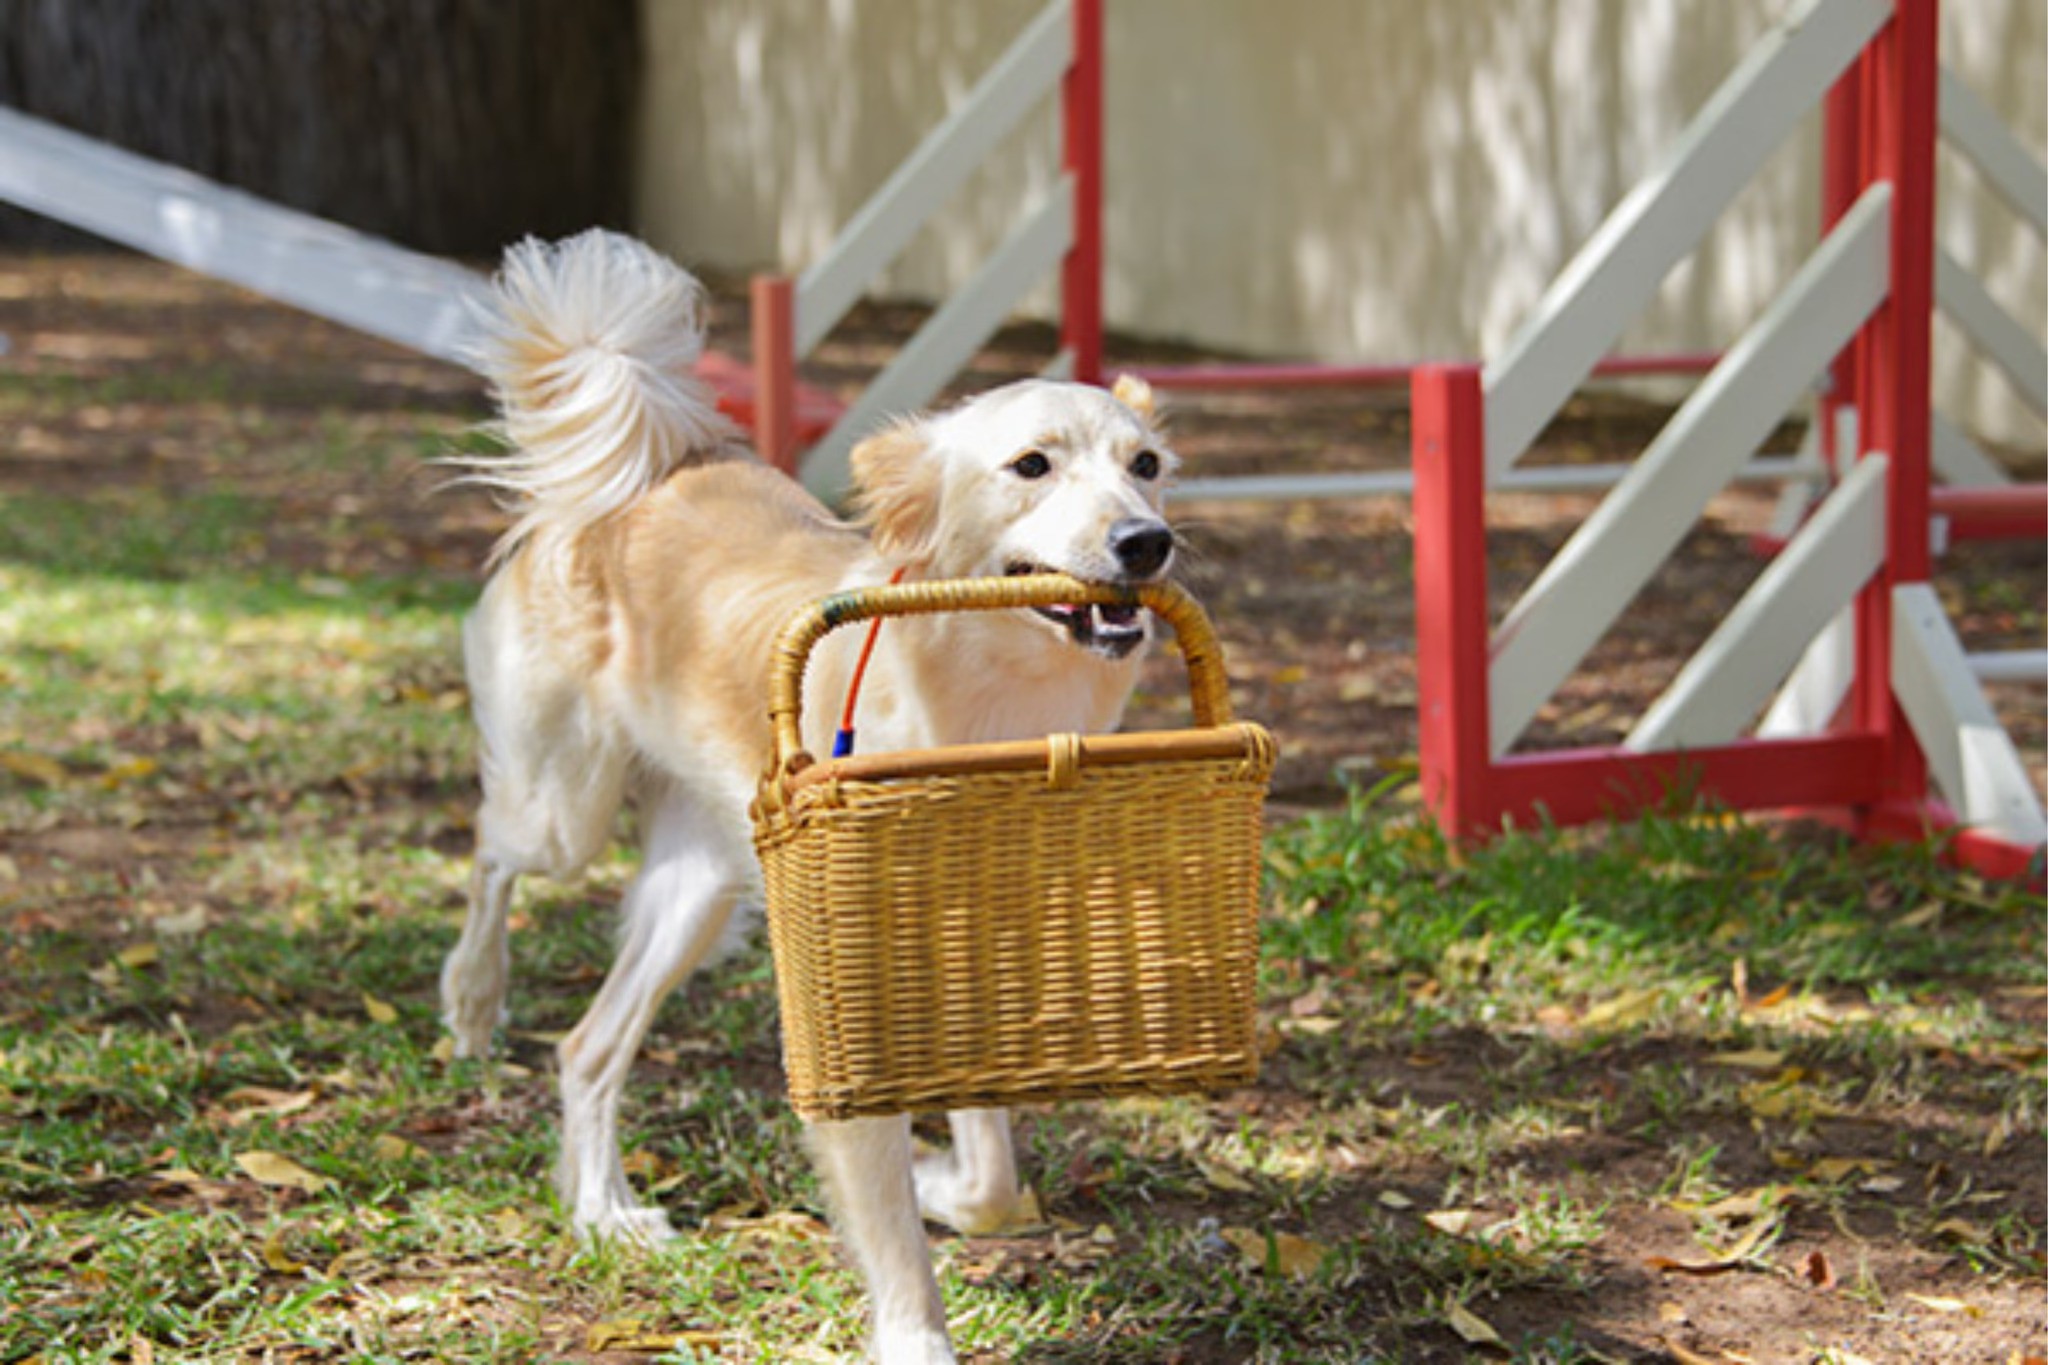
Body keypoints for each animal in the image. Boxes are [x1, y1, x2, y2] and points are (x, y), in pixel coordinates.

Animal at [444, 229, 1187, 1358]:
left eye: (1144, 465)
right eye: (1031, 464)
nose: (1148, 542)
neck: (972, 705)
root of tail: (643, 475)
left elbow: (992, 1180)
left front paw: (939, 1181)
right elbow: (895, 1238)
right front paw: (916, 1321)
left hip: (701, 895)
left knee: (586, 1046)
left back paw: (603, 1211)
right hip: (562, 810)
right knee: (491, 851)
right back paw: (474, 999)